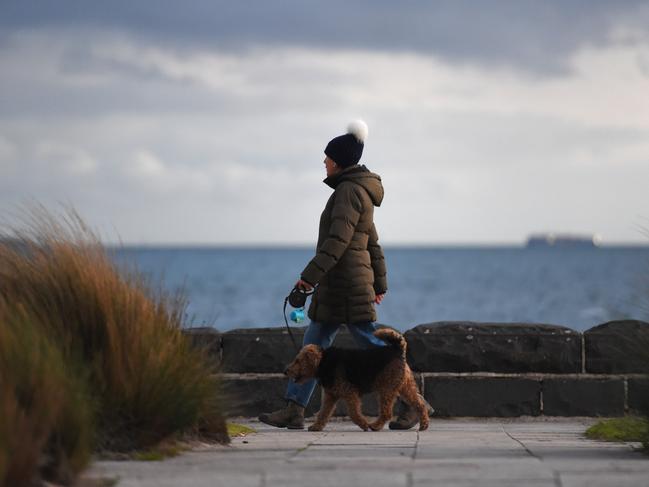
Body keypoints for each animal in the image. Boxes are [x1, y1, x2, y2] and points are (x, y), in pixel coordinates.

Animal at [284, 330, 430, 432]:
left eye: (298, 360)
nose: (286, 371)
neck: (323, 362)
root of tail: (398, 349)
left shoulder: (350, 393)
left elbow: (353, 413)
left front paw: (363, 424)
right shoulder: (331, 396)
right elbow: (323, 412)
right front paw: (316, 427)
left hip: (386, 389)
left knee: (387, 412)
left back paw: (374, 426)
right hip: (405, 385)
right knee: (419, 403)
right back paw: (424, 424)